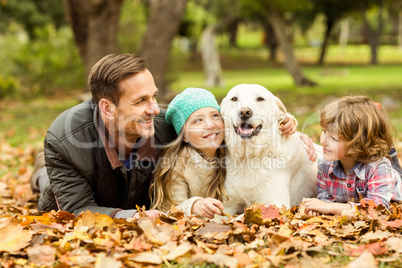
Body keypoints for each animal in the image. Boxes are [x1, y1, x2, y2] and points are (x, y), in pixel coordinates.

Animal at [220, 84, 318, 216]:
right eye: (234, 98)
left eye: (260, 99)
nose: (244, 112)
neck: (248, 157)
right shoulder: (226, 205)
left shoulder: (274, 203)